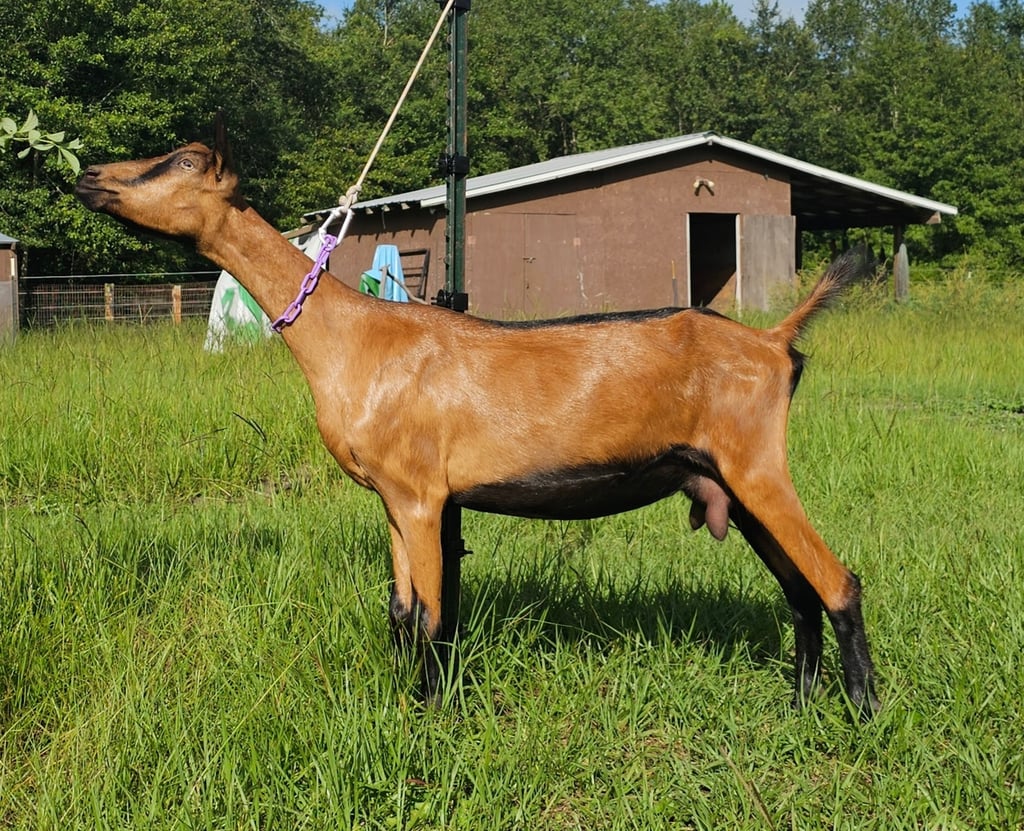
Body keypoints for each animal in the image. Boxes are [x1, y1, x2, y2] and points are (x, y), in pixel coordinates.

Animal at [74, 118, 879, 717]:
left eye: (182, 160)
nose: (86, 174)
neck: (351, 334)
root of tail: (774, 341)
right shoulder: (394, 498)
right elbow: (401, 614)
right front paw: (404, 707)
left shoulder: (424, 495)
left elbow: (433, 618)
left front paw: (432, 719)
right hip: (727, 482)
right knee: (800, 592)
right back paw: (800, 705)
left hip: (758, 464)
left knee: (837, 582)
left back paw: (864, 714)